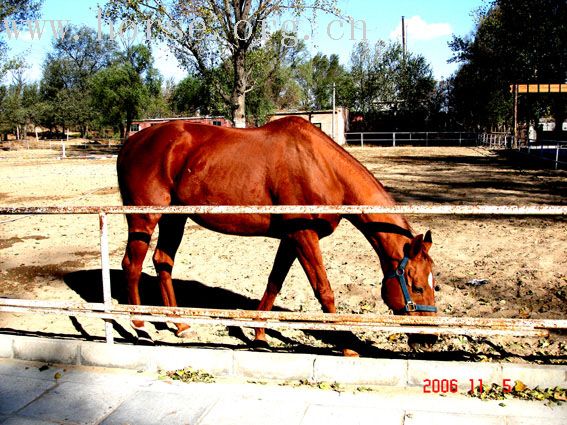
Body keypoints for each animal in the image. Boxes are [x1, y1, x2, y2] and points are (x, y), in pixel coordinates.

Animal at [116, 116, 440, 352]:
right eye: (417, 287)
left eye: (433, 282)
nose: (430, 338)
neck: (320, 166)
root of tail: (131, 142)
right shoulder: (303, 235)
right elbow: (324, 290)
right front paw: (347, 344)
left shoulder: (291, 238)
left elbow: (274, 283)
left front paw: (259, 334)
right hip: (144, 218)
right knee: (132, 265)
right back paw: (140, 326)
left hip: (175, 218)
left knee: (162, 261)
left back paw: (179, 324)